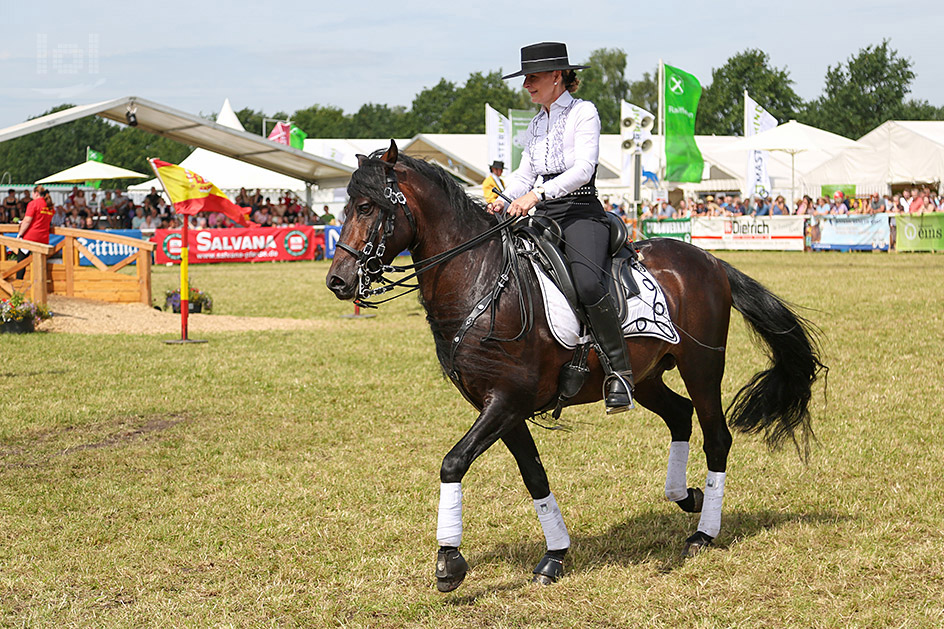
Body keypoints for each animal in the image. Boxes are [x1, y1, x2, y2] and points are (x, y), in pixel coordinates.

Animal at [326, 140, 824, 592]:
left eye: (366, 207)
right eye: (344, 208)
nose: (338, 282)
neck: (481, 281)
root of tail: (709, 259)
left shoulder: (506, 401)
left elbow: (452, 463)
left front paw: (449, 562)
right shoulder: (500, 409)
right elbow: (533, 476)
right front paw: (555, 555)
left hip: (702, 366)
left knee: (716, 437)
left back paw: (703, 534)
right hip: (645, 376)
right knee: (679, 415)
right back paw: (686, 497)